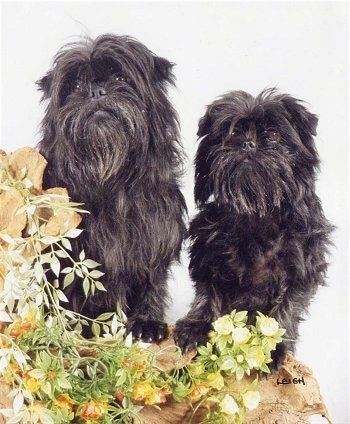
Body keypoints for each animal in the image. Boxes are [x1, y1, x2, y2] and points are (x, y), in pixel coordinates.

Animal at [37, 34, 187, 344]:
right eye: (76, 86)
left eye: (120, 77)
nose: (96, 91)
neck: (110, 180)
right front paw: (69, 325)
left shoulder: (156, 233)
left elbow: (152, 280)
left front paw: (147, 322)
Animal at [175, 88, 334, 368]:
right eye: (232, 133)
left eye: (273, 134)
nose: (248, 144)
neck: (257, 212)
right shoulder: (208, 253)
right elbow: (207, 294)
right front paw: (195, 326)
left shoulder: (302, 266)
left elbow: (287, 306)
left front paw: (276, 346)